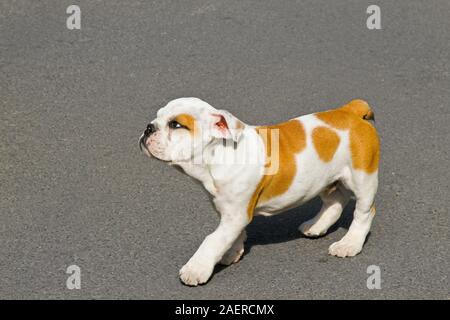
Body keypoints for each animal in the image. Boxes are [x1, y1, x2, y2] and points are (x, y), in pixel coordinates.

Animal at [140, 97, 380, 284]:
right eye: (158, 117)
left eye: (176, 125)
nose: (148, 127)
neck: (219, 155)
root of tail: (351, 110)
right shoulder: (228, 211)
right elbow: (230, 236)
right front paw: (232, 252)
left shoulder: (235, 215)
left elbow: (213, 239)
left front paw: (196, 269)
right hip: (325, 179)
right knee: (334, 201)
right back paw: (316, 225)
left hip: (362, 177)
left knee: (364, 212)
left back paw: (349, 244)